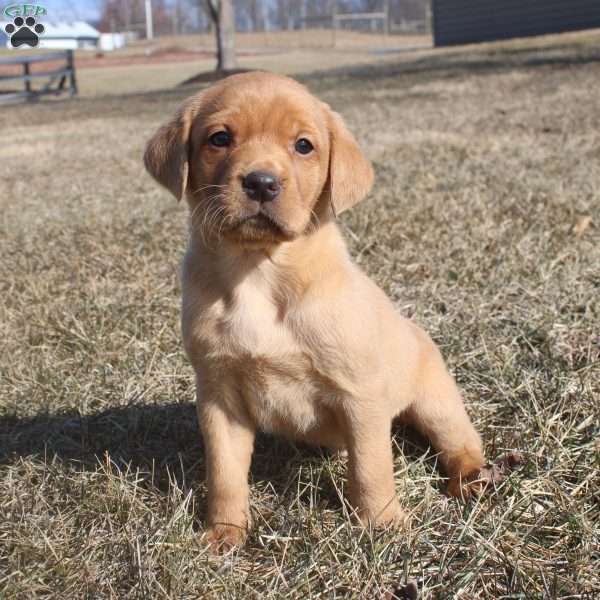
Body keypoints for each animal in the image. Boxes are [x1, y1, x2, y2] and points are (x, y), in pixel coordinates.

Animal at [145, 70, 492, 548]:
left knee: (460, 440)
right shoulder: (218, 395)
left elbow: (371, 467)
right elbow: (225, 474)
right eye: (220, 138)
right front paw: (224, 532)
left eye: (304, 146)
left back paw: (471, 478)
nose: (261, 183)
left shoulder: (359, 395)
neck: (259, 272)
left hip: (436, 401)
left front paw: (383, 524)